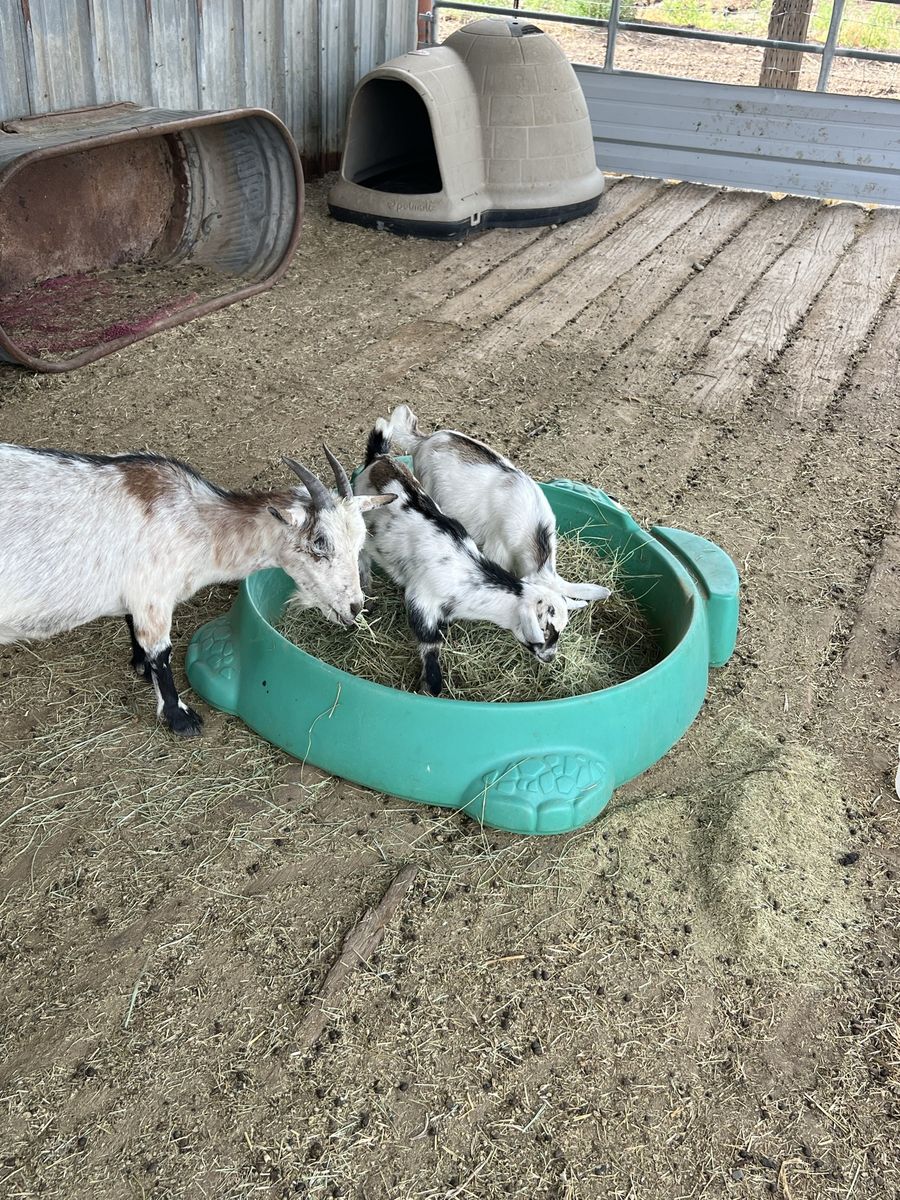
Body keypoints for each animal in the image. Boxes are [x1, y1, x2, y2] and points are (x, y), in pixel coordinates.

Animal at [0, 445, 393, 736]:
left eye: (360, 542)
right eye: (319, 543)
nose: (355, 607)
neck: (195, 522)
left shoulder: (138, 596)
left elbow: (133, 628)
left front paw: (138, 663)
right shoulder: (154, 595)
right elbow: (162, 653)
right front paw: (180, 717)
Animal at [353, 425, 562, 697]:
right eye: (545, 631)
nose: (551, 658)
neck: (466, 574)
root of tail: (378, 458)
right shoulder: (421, 601)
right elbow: (430, 644)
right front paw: (431, 687)